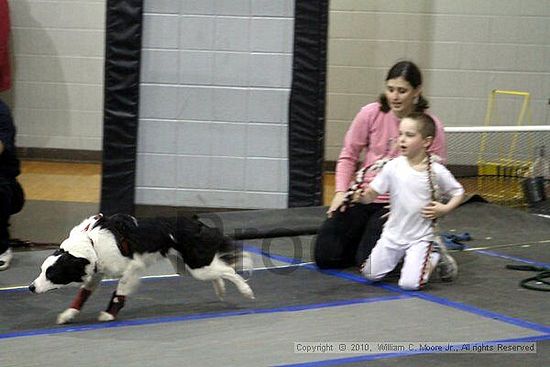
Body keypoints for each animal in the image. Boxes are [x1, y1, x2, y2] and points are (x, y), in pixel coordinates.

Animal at [29, 213, 254, 324]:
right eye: (41, 270)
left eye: (51, 274)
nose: (31, 288)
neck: (91, 244)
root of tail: (199, 224)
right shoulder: (95, 273)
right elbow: (82, 296)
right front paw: (68, 315)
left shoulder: (132, 267)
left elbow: (120, 290)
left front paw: (110, 314)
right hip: (186, 266)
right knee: (218, 271)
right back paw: (221, 290)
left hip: (196, 265)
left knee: (229, 271)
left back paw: (246, 291)